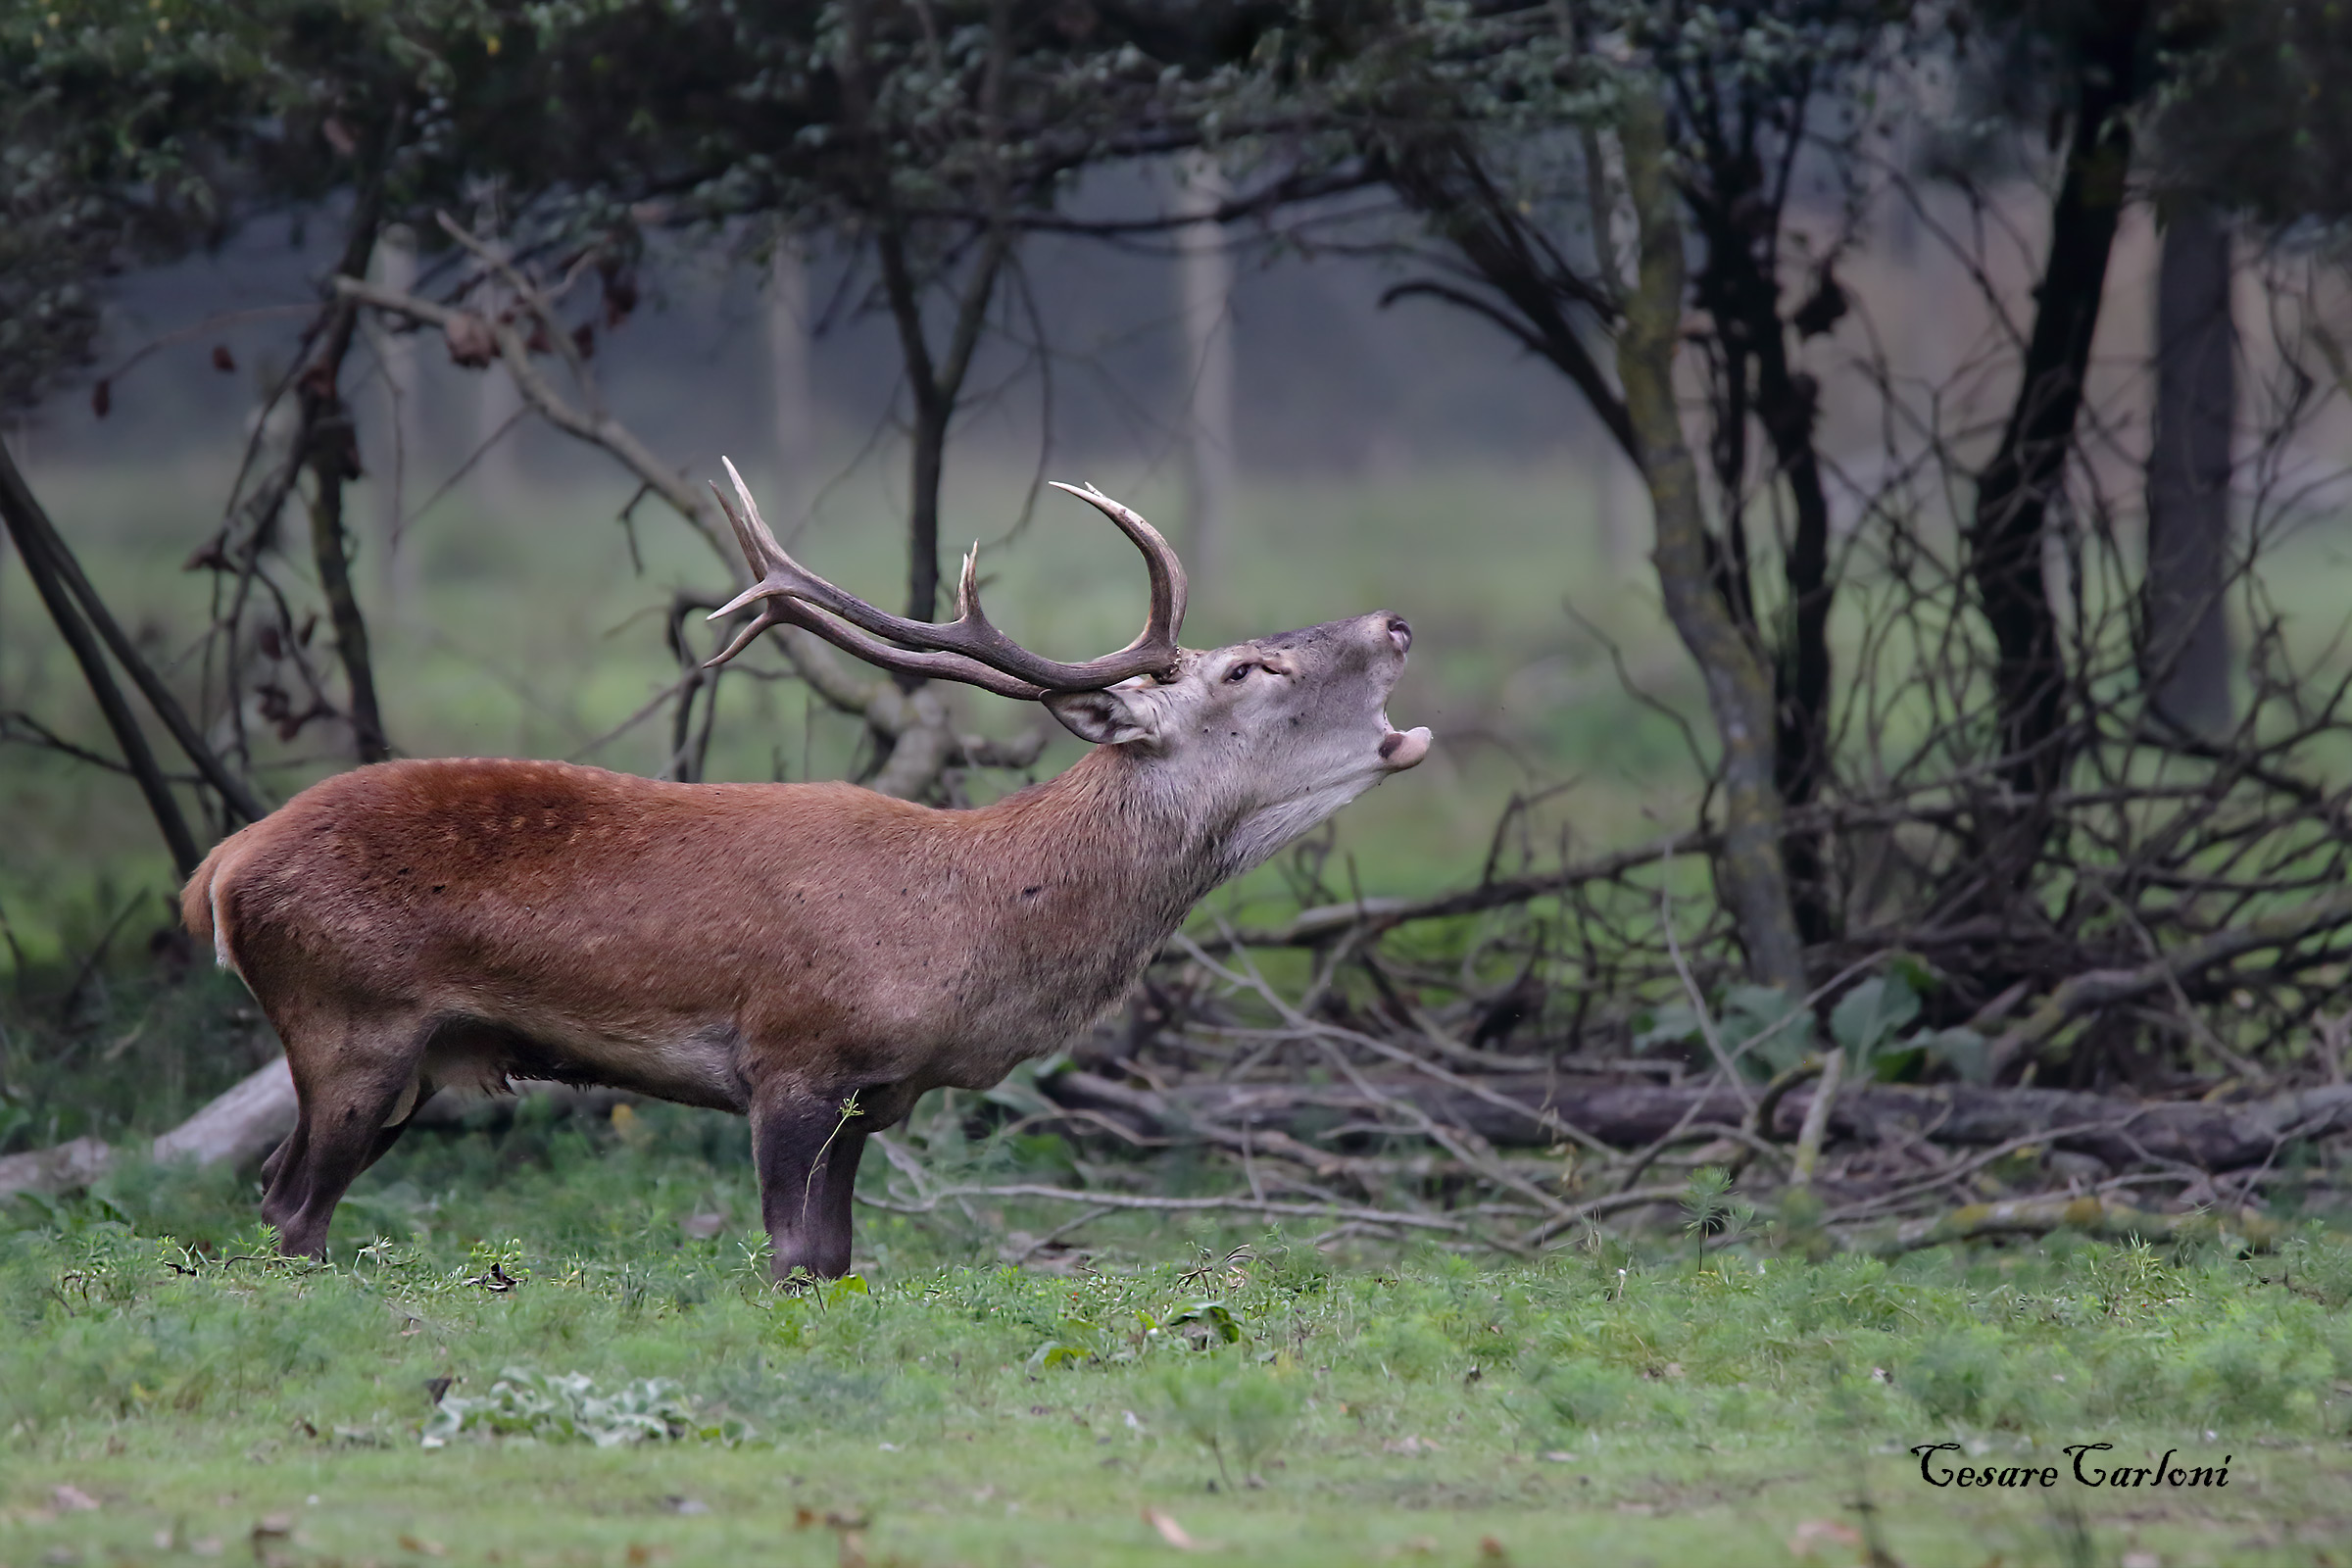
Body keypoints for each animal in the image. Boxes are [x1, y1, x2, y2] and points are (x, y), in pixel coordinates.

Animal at [181, 464, 1430, 1280]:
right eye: (1246, 667)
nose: (1396, 620)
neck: (971, 930)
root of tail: (218, 869)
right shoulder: (791, 1053)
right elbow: (789, 1255)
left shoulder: (875, 1092)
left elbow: (838, 1258)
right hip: (351, 1018)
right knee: (291, 1204)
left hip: (410, 1059)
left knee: (279, 1190)